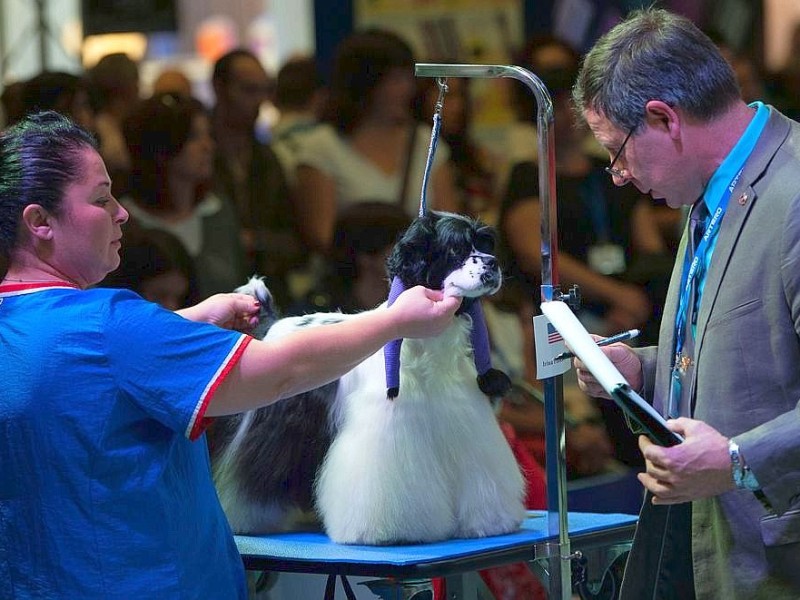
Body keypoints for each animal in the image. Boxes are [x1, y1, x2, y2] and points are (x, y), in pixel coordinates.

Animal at [209, 213, 528, 548]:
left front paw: (489, 523)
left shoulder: (466, 425)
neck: (428, 350)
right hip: (275, 425)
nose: (492, 263)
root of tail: (275, 323)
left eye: (485, 244)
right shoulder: (388, 431)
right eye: (455, 248)